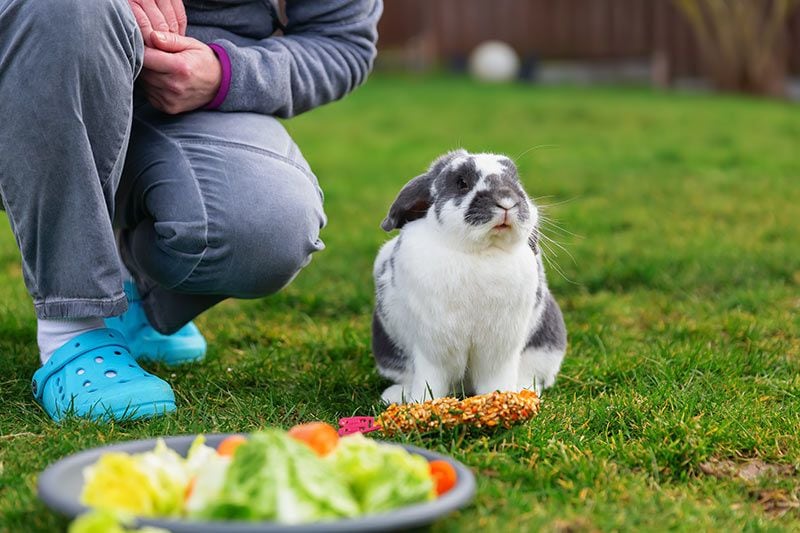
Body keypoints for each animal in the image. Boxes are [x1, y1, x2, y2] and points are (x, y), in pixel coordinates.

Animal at [372, 150, 564, 404]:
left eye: (515, 179)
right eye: (461, 182)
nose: (507, 201)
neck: (479, 252)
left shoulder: (499, 349)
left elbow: (495, 379)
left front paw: (501, 398)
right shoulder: (432, 348)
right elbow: (430, 380)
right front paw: (421, 404)